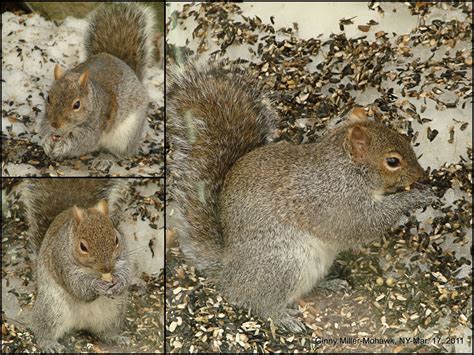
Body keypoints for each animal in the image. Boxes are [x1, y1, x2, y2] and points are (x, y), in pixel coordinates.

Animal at [23, 179, 131, 352]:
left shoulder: (123, 256)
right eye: (83, 246)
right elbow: (78, 287)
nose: (107, 268)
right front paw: (96, 285)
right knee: (42, 329)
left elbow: (126, 271)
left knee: (104, 332)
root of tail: (82, 322)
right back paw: (49, 343)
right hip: (51, 307)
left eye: (116, 239)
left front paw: (120, 283)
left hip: (115, 311)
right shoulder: (62, 264)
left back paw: (115, 338)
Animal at [39, 3, 156, 160]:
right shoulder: (47, 118)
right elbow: (44, 128)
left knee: (121, 153)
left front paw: (63, 147)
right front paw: (46, 141)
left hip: (126, 135)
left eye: (77, 105)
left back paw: (106, 159)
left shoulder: (95, 125)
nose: (55, 124)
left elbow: (84, 141)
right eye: (49, 98)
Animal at [168, 63, 438, 334]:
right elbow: (365, 224)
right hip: (284, 264)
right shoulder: (338, 204)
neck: (347, 171)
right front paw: (416, 197)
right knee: (260, 303)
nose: (421, 174)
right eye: (392, 161)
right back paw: (283, 317)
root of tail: (228, 273)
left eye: (405, 139)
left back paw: (329, 285)